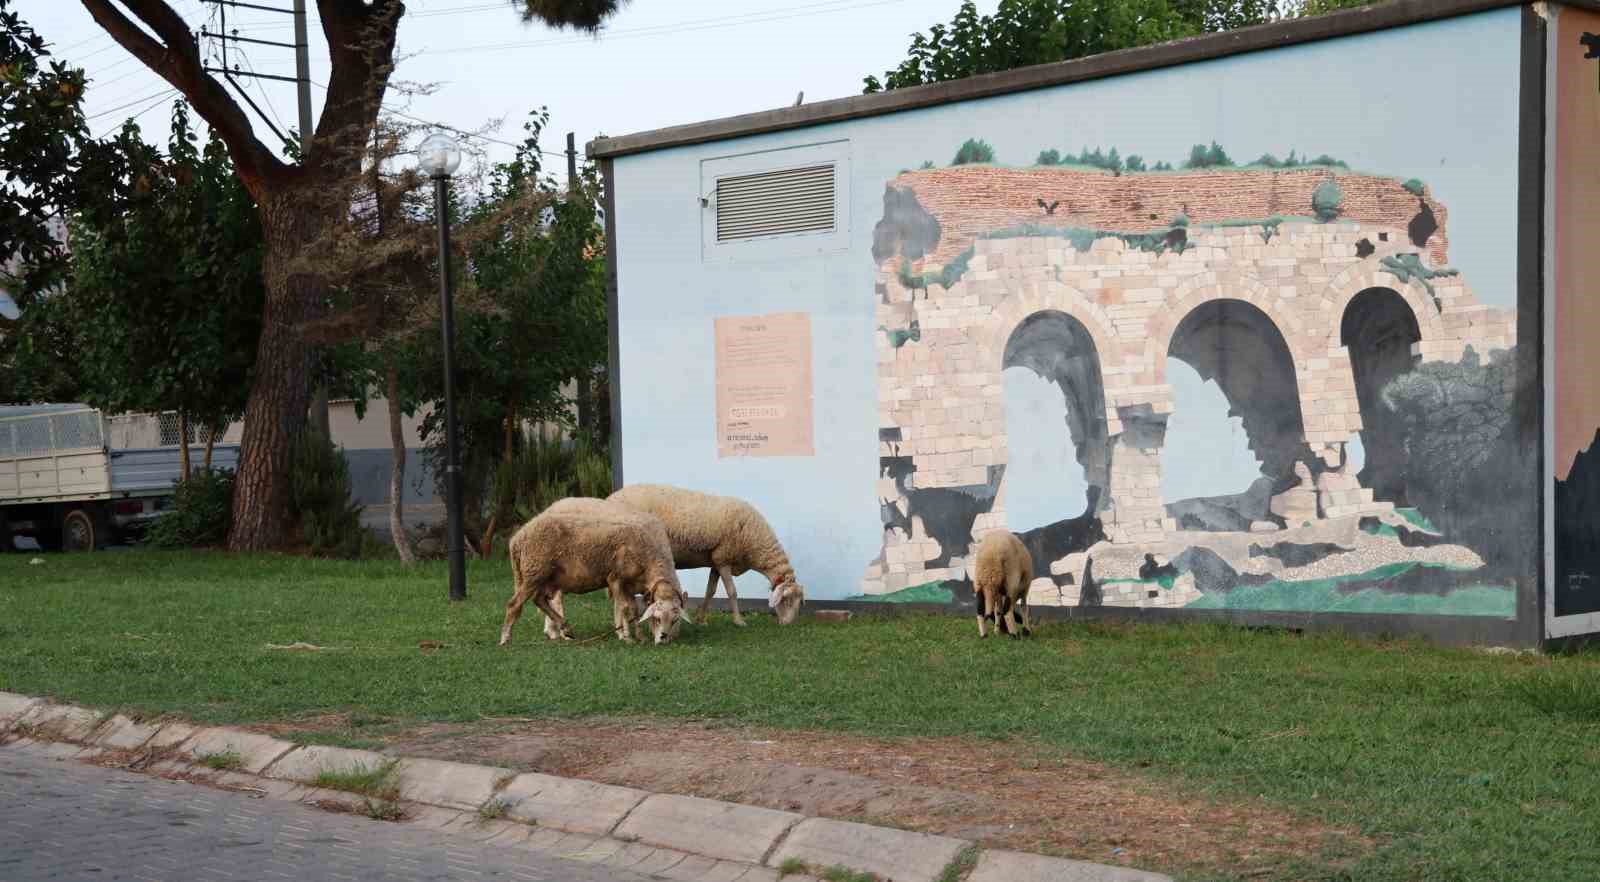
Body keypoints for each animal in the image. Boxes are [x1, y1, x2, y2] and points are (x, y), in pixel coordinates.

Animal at [499, 496, 688, 649]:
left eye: (675, 620)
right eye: (657, 618)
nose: (663, 639)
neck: (649, 558)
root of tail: (517, 538)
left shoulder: (629, 585)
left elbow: (633, 609)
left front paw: (639, 637)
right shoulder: (615, 578)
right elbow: (623, 607)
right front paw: (626, 637)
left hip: (546, 578)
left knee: (539, 600)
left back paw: (565, 628)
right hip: (534, 573)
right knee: (514, 604)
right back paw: (506, 639)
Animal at [601, 486, 806, 624]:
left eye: (799, 602)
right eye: (787, 600)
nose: (788, 624)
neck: (755, 542)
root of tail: (610, 498)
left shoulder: (716, 560)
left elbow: (710, 591)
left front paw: (701, 619)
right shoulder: (724, 558)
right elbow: (732, 591)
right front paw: (739, 621)